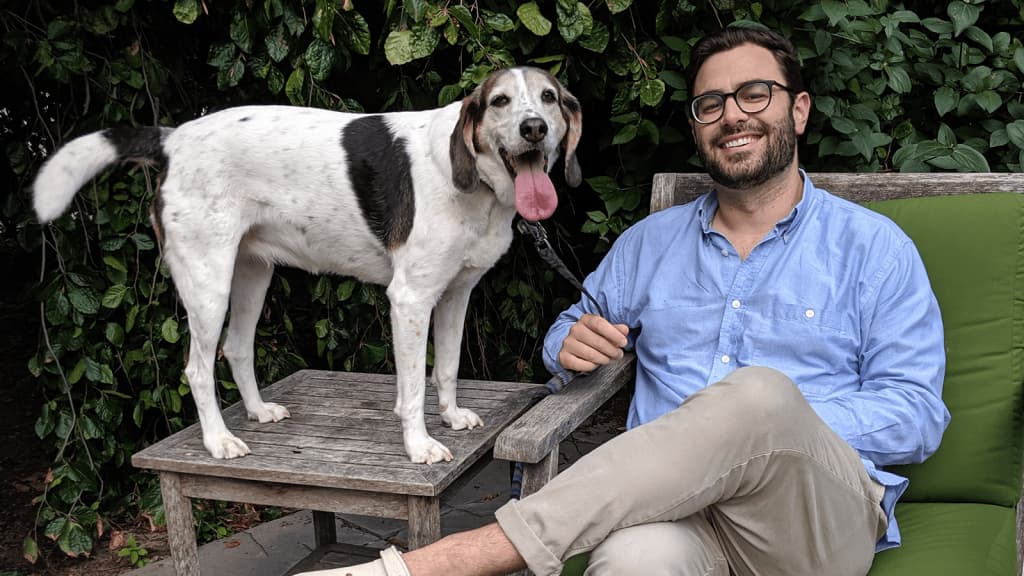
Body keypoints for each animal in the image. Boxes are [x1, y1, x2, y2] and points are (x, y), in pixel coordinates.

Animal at [32, 66, 581, 461]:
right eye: (500, 102)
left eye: (548, 98)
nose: (534, 128)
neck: (478, 185)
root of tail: (173, 139)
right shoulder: (409, 300)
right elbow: (411, 390)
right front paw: (419, 445)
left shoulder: (454, 295)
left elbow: (445, 368)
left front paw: (449, 415)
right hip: (208, 285)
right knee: (196, 368)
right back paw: (218, 440)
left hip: (252, 276)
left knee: (235, 348)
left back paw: (257, 411)